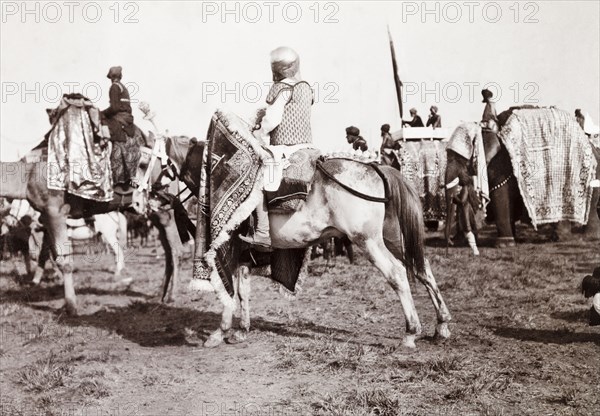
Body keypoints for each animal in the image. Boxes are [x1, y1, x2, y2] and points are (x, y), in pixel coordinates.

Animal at [446, 108, 600, 250]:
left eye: (457, 159)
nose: (452, 241)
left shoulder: (501, 165)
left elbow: (500, 197)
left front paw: (504, 244)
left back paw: (566, 238)